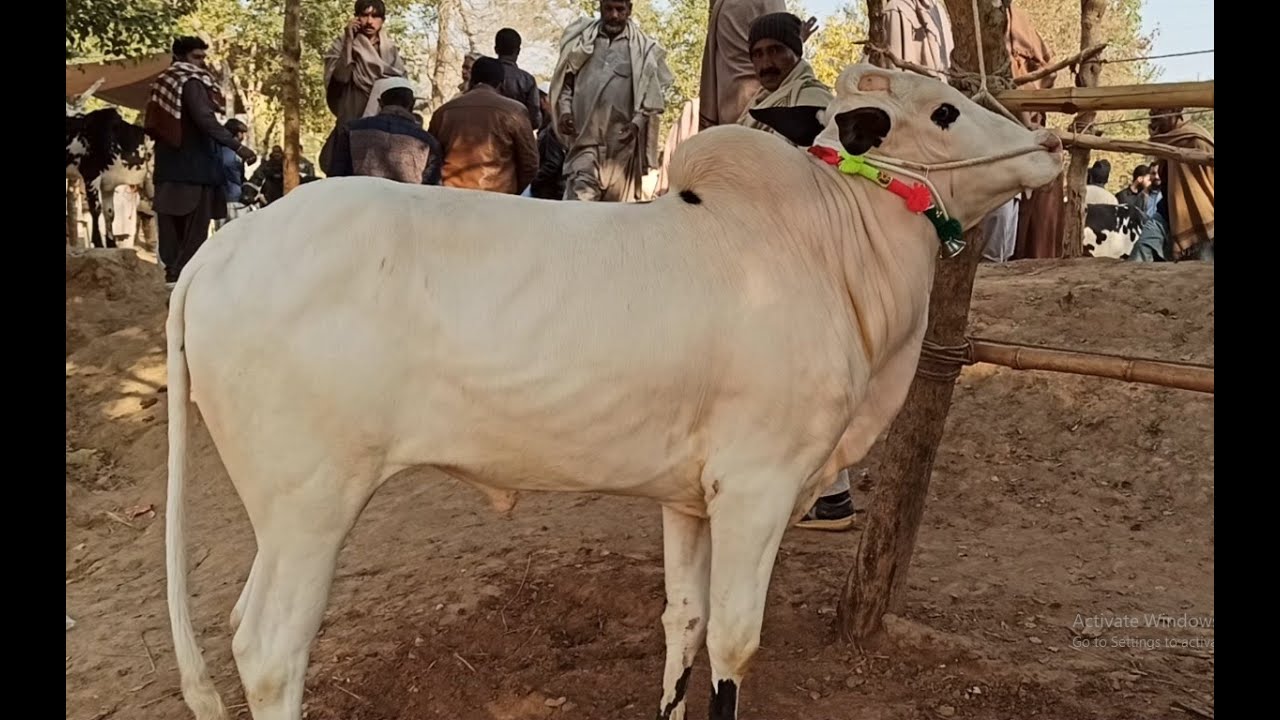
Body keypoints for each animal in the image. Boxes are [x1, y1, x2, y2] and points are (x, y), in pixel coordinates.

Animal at [66, 106, 153, 249]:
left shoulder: (108, 185)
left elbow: (110, 213)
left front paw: (112, 243)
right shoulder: (91, 175)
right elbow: (96, 210)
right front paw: (98, 243)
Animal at [162, 63, 1064, 720]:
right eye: (946, 111)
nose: (1049, 142)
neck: (828, 245)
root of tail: (218, 254)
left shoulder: (690, 498)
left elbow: (683, 624)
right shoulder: (759, 489)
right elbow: (734, 644)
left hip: (283, 516)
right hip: (312, 505)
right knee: (269, 653)